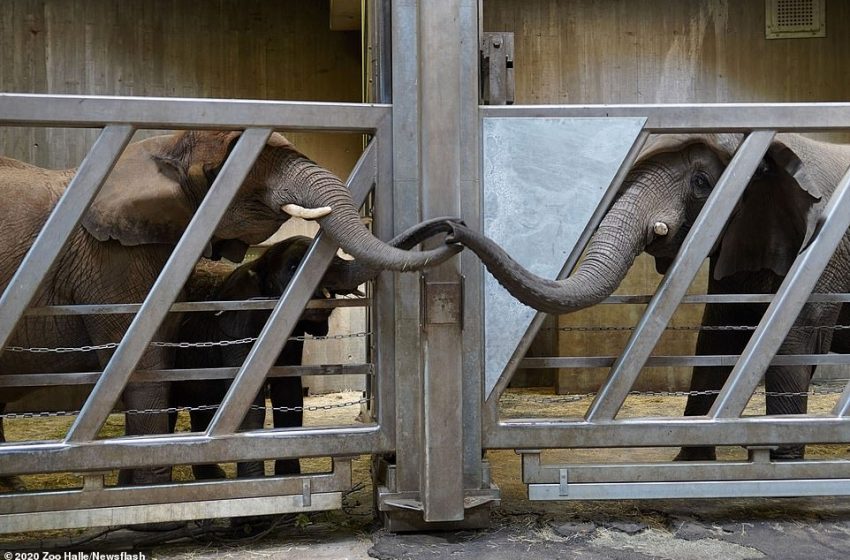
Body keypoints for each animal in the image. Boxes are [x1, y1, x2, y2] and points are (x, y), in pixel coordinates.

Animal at [0, 130, 460, 486]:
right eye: (232, 174)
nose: (453, 229)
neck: (161, 147)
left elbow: (288, 391)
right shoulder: (111, 260)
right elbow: (141, 364)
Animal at [440, 133, 848, 462]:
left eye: (702, 182)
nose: (450, 229)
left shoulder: (818, 256)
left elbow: (792, 341)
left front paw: (780, 462)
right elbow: (716, 336)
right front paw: (690, 464)